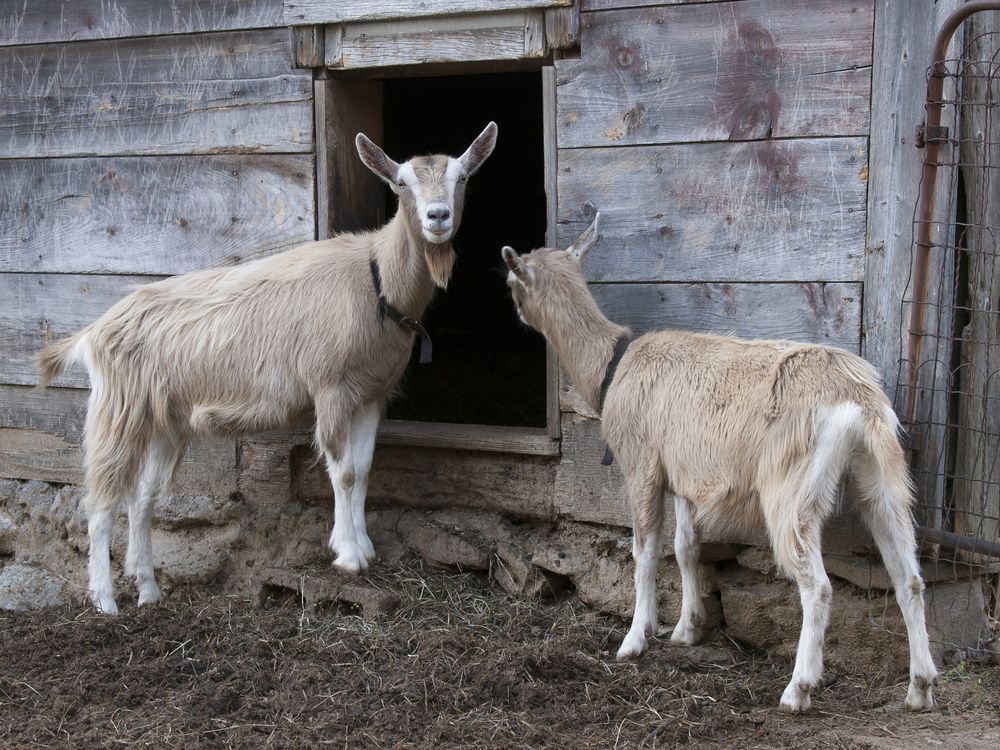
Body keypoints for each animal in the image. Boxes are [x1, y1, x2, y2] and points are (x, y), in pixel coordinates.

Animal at [39, 122, 500, 616]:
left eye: (463, 178)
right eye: (400, 184)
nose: (437, 217)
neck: (376, 278)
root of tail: (92, 332)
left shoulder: (372, 395)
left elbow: (363, 469)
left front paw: (363, 546)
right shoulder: (330, 388)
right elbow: (343, 472)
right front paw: (348, 556)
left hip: (167, 421)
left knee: (142, 499)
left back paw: (148, 590)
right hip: (118, 411)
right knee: (100, 502)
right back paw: (106, 600)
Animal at [504, 217, 940, 716]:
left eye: (513, 280)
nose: (513, 310)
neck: (611, 369)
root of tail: (856, 397)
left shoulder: (642, 466)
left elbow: (645, 550)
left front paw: (634, 640)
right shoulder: (683, 477)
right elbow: (686, 547)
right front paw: (687, 629)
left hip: (791, 486)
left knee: (818, 585)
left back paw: (798, 689)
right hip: (883, 476)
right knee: (909, 577)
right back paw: (920, 688)